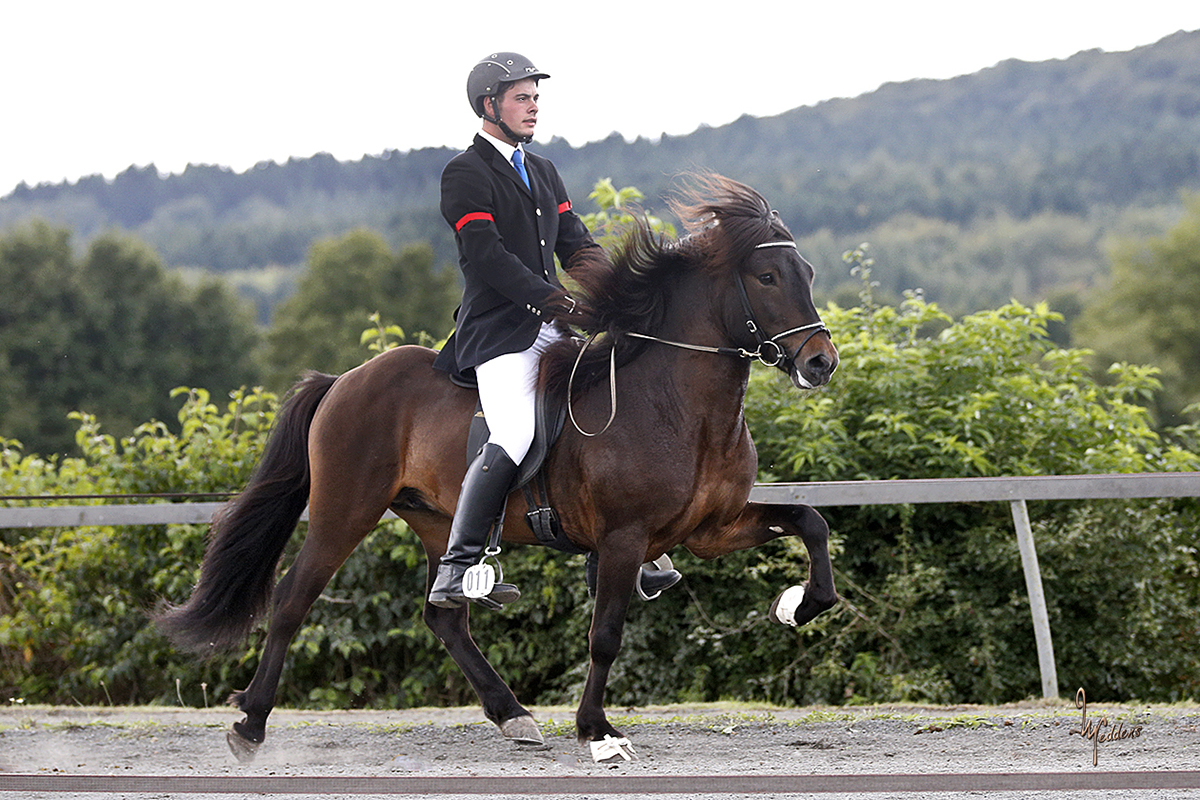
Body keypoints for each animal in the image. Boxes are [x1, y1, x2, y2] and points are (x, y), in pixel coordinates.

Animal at [156, 173, 840, 762]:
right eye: (768, 275)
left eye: (807, 271)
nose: (821, 363)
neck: (679, 405)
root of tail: (344, 379)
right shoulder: (623, 539)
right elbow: (605, 635)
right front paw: (597, 731)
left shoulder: (709, 529)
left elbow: (811, 521)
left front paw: (799, 606)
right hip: (343, 511)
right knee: (293, 598)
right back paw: (250, 723)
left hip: (435, 519)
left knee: (444, 613)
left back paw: (513, 714)